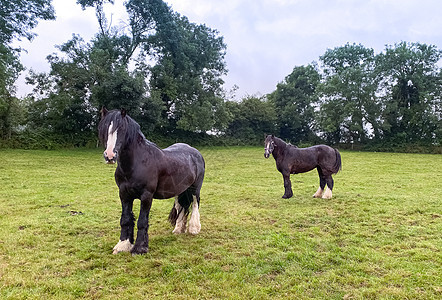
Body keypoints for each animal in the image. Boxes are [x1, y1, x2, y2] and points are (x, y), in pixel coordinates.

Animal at [98, 108, 205, 253]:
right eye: (104, 127)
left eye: (122, 128)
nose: (110, 156)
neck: (136, 163)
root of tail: (196, 153)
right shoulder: (124, 195)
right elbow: (125, 219)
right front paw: (123, 245)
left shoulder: (146, 196)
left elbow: (142, 221)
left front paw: (139, 248)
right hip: (180, 190)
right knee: (180, 206)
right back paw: (178, 229)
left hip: (195, 188)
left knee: (195, 203)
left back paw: (194, 228)